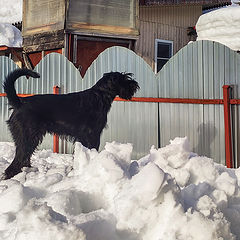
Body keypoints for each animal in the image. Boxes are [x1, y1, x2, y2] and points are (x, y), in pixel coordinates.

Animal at [2, 68, 139, 179]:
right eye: (124, 79)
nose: (135, 85)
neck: (100, 95)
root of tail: (19, 102)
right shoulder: (92, 135)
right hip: (27, 137)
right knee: (18, 159)